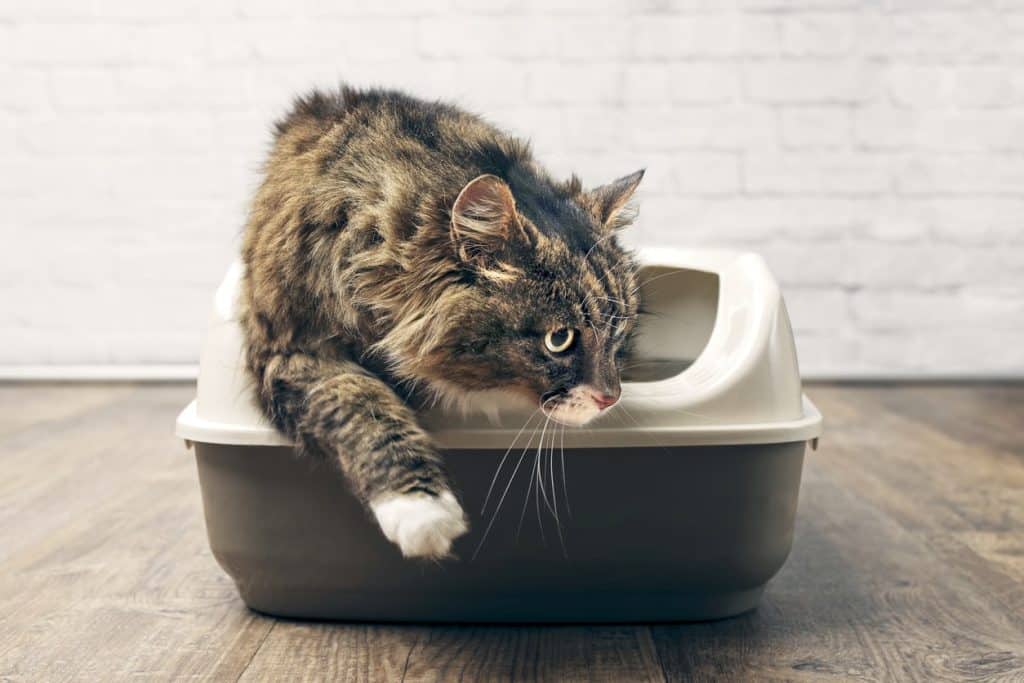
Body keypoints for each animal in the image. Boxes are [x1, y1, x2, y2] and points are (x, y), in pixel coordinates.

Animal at [239, 82, 638, 557]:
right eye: (559, 339)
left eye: (617, 330)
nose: (611, 397)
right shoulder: (289, 349)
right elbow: (360, 404)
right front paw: (420, 511)